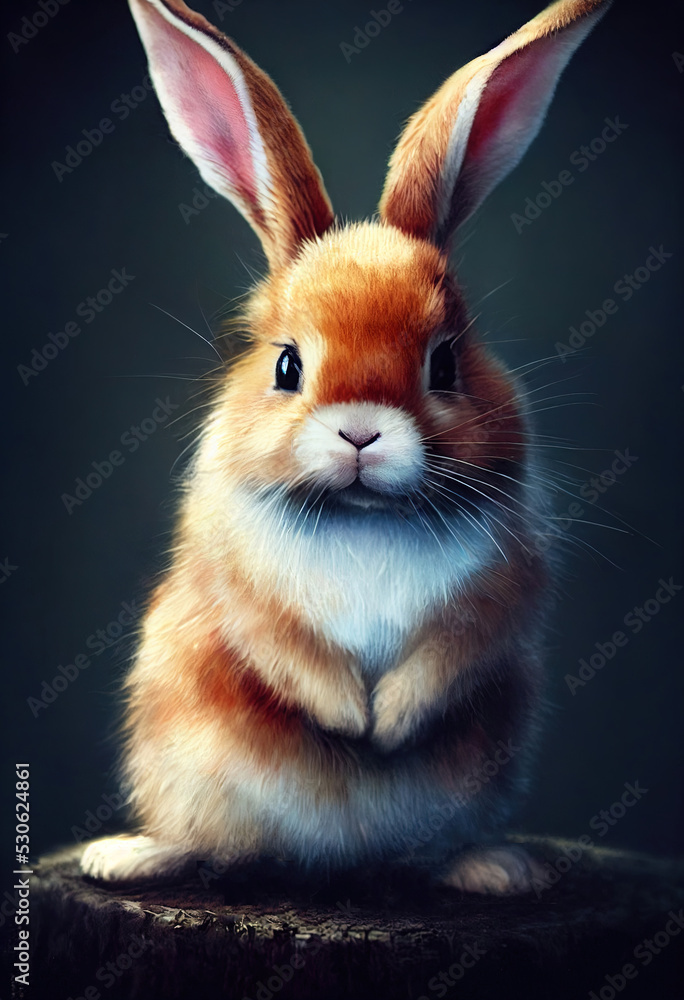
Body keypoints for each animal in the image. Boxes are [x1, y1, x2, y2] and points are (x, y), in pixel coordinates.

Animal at [81, 0, 611, 893]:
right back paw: (129, 856)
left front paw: (386, 726)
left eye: (445, 362)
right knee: (206, 840)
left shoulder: (501, 588)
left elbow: (452, 652)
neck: (363, 514)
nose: (360, 431)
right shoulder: (239, 588)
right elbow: (283, 649)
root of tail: (339, 864)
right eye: (287, 365)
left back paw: (495, 868)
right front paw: (347, 718)